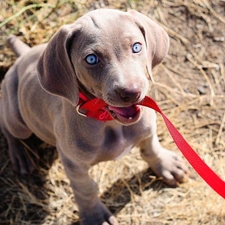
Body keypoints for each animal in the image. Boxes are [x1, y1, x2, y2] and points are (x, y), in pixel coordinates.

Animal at [0, 8, 188, 225]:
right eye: (91, 59)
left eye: (136, 47)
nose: (131, 92)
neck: (110, 121)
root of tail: (23, 56)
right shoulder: (73, 165)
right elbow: (86, 189)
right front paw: (95, 216)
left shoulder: (148, 128)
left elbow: (151, 147)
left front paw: (166, 165)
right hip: (17, 119)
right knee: (8, 128)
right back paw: (20, 155)